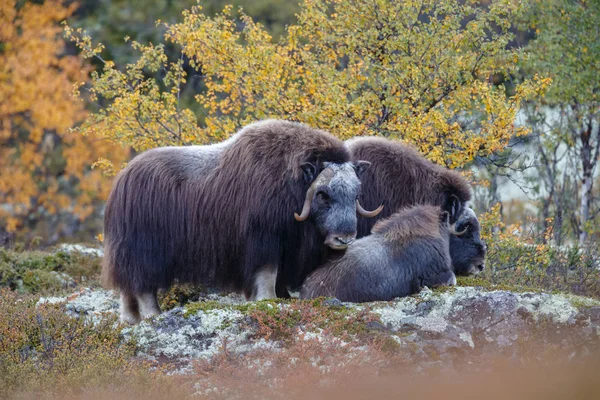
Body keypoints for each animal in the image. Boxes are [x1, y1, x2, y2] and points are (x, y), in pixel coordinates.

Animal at [103, 119, 382, 324]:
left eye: (356, 194)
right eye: (323, 194)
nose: (344, 238)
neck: (292, 185)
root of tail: (121, 181)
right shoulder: (264, 241)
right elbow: (268, 275)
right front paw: (268, 301)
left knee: (127, 289)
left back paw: (130, 320)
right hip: (144, 253)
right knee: (142, 287)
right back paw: (154, 315)